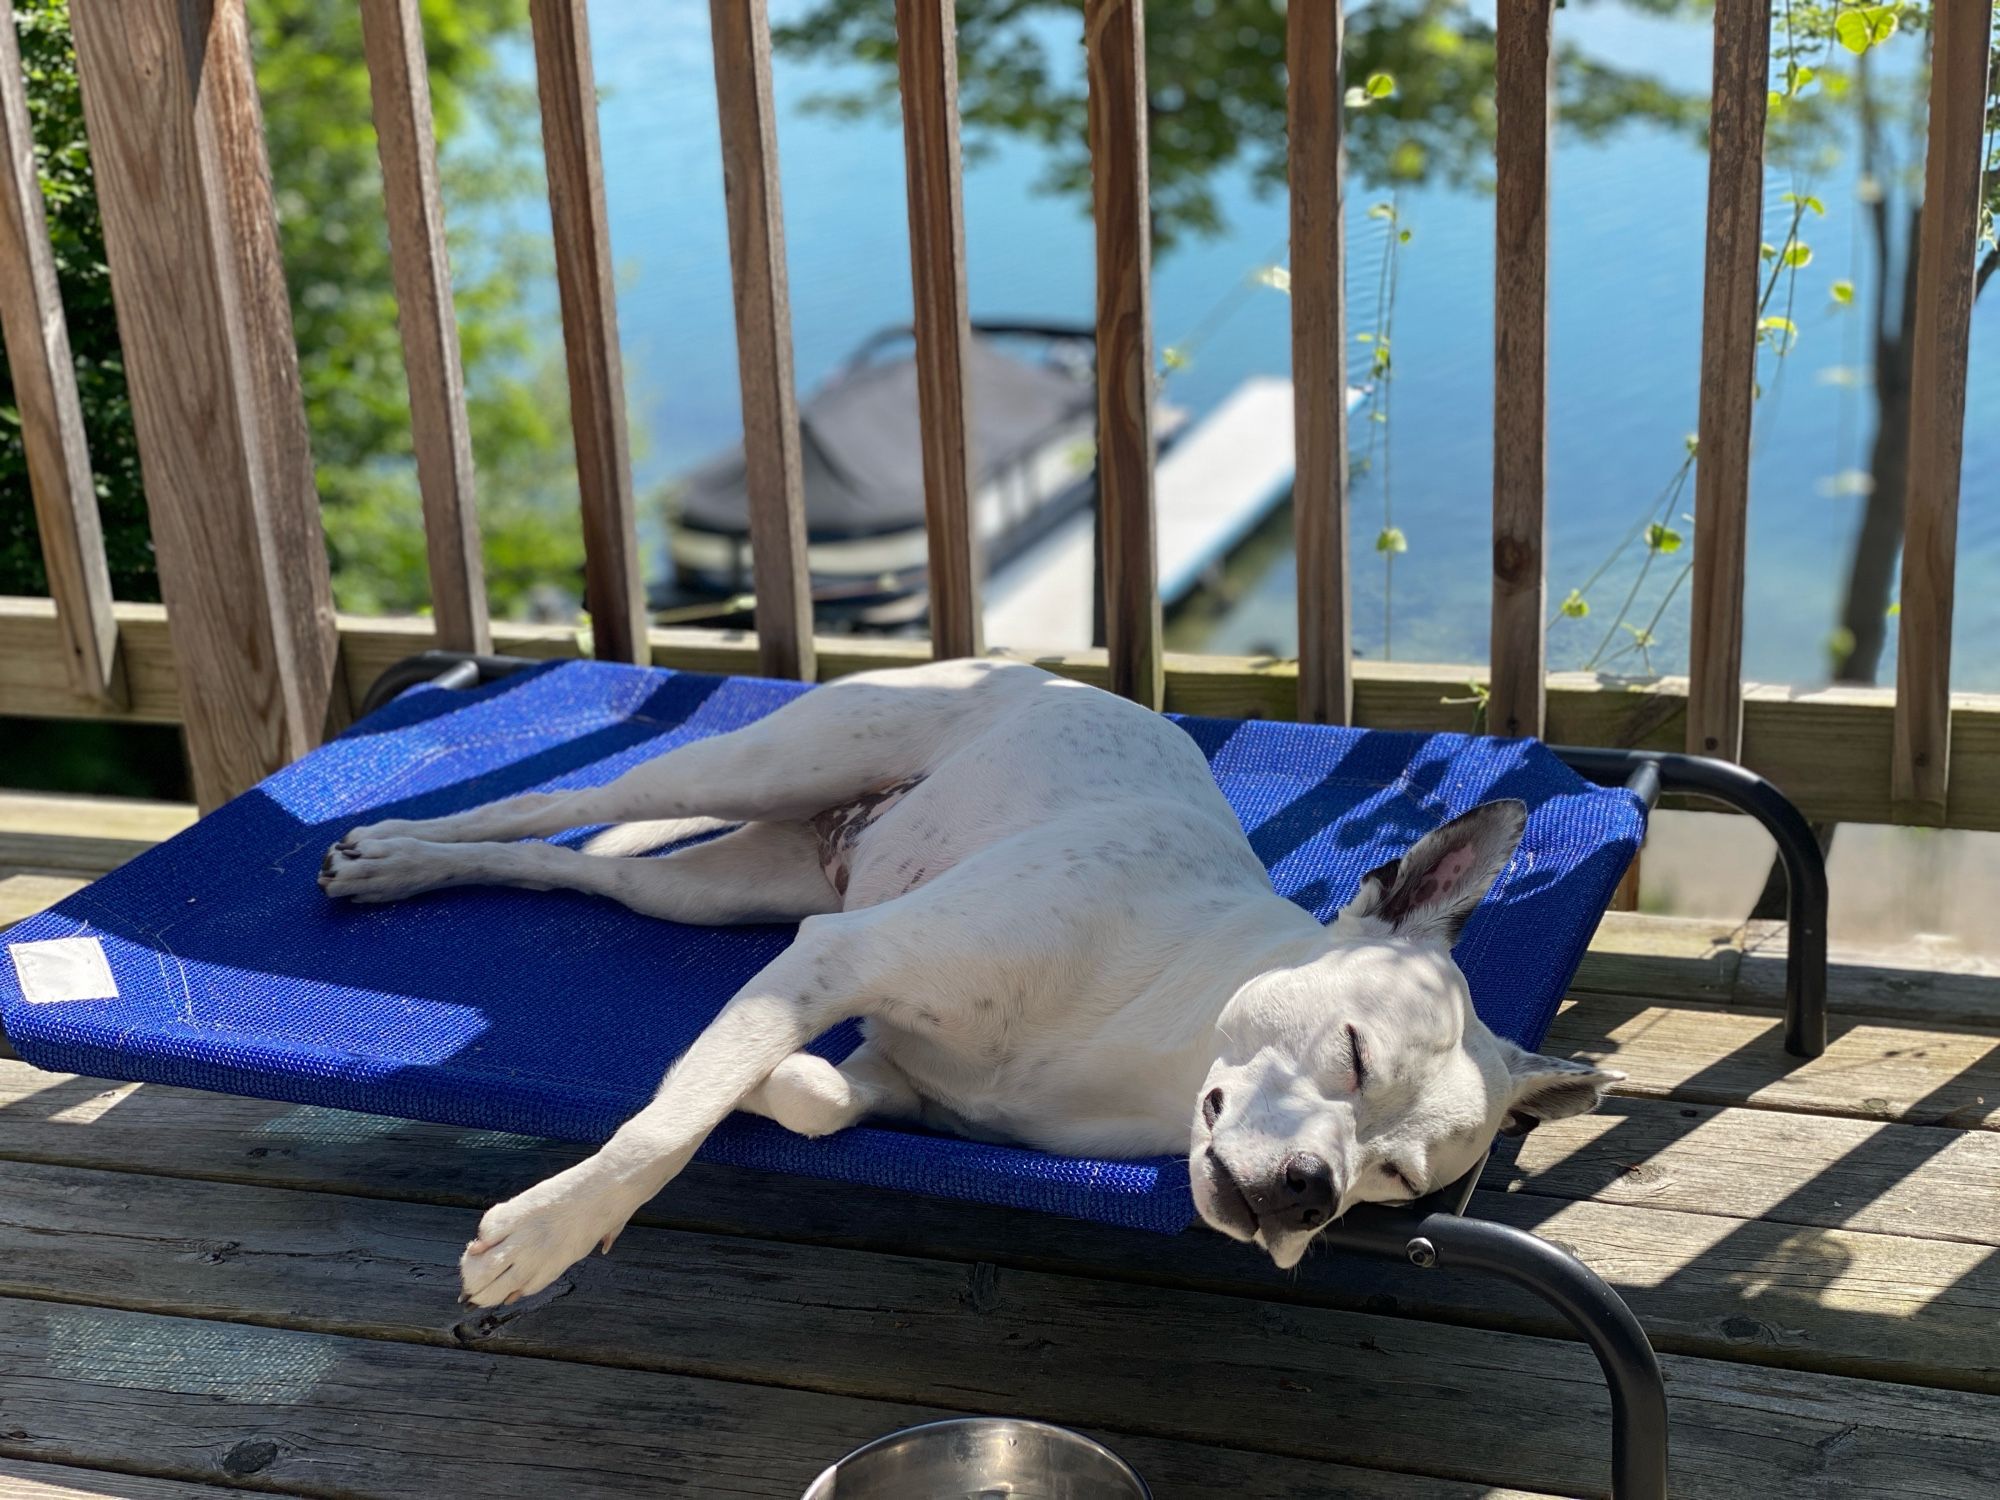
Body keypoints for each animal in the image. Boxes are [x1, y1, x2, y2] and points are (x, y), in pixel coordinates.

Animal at [316, 656, 1624, 1304]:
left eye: (1396, 1181)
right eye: (1351, 1052)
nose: (1309, 1193)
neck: (1147, 1041)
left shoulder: (862, 1022)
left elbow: (802, 1094)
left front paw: (764, 1083)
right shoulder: (845, 955)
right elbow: (657, 1132)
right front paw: (547, 1232)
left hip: (728, 888)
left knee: (580, 869)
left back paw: (410, 867)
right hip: (773, 758)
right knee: (561, 799)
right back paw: (390, 849)